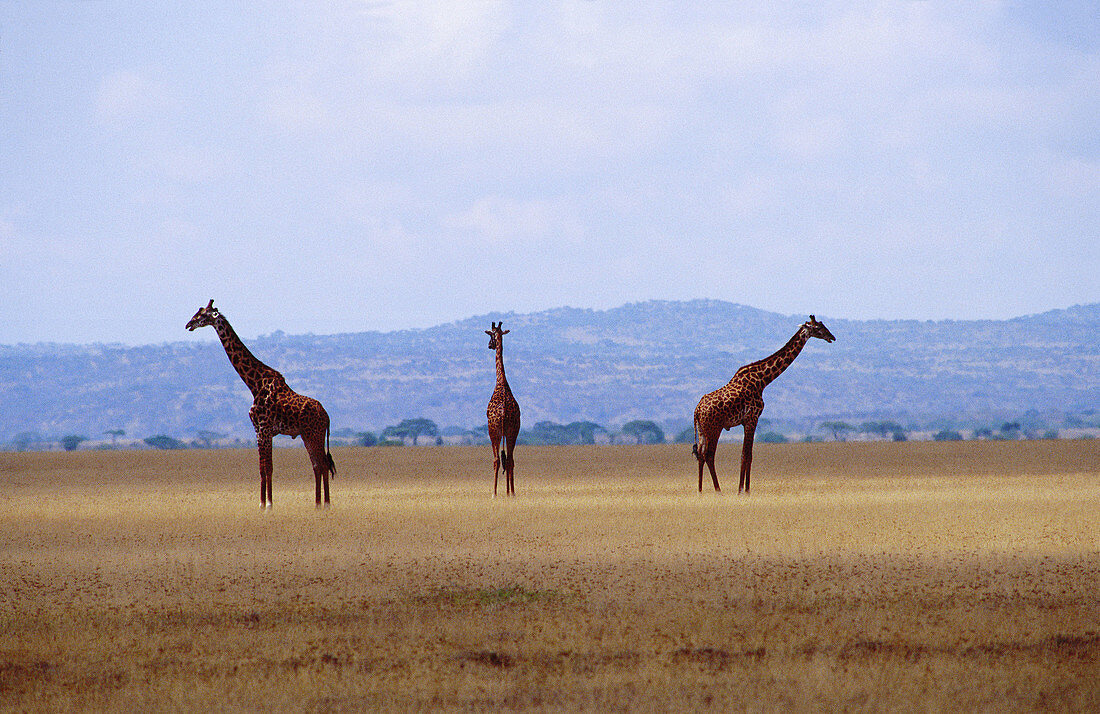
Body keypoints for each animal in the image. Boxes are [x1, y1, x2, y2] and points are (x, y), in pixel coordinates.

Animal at [185, 299, 334, 506]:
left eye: (202, 314)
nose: (188, 324)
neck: (254, 384)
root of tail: (327, 415)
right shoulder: (260, 430)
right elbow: (263, 468)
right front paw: (264, 503)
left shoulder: (263, 429)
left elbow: (267, 468)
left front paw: (267, 504)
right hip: (307, 435)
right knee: (317, 464)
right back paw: (318, 504)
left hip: (315, 433)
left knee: (322, 464)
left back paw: (325, 504)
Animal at [690, 314, 836, 492]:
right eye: (818, 327)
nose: (832, 337)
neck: (762, 380)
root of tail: (697, 410)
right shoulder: (752, 418)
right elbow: (746, 455)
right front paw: (743, 490)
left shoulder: (748, 420)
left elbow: (747, 455)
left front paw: (744, 489)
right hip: (714, 428)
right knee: (709, 455)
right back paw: (718, 490)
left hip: (702, 430)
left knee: (701, 455)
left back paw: (700, 491)